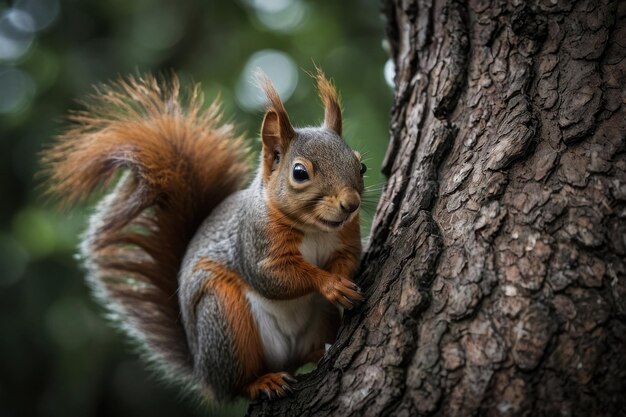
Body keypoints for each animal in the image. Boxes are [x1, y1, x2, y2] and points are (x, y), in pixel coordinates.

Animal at [41, 70, 366, 402]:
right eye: (300, 173)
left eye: (361, 166)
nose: (351, 204)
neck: (315, 229)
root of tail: (202, 371)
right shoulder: (255, 241)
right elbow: (274, 277)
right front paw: (328, 283)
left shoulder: (347, 237)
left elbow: (349, 258)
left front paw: (342, 281)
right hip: (224, 319)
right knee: (236, 384)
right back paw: (262, 382)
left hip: (316, 322)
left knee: (301, 355)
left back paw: (315, 352)